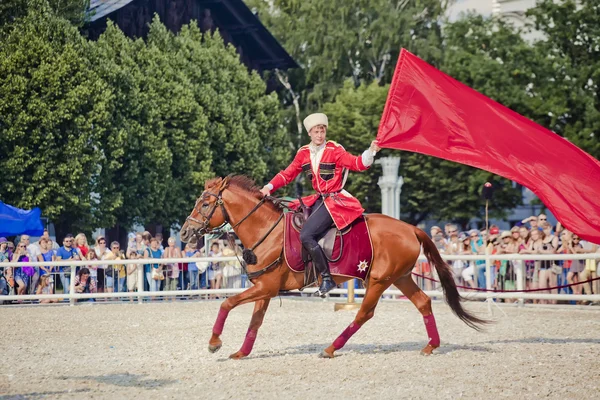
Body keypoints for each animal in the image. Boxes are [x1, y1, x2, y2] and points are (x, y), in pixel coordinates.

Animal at [180, 175, 486, 360]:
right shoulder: (265, 289)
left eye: (205, 203)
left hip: (378, 281)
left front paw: (215, 342)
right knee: (423, 302)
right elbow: (255, 322)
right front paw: (242, 352)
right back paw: (431, 345)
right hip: (399, 277)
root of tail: (411, 228)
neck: (267, 230)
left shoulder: (266, 287)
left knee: (364, 314)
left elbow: (226, 304)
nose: (184, 234)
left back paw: (330, 347)